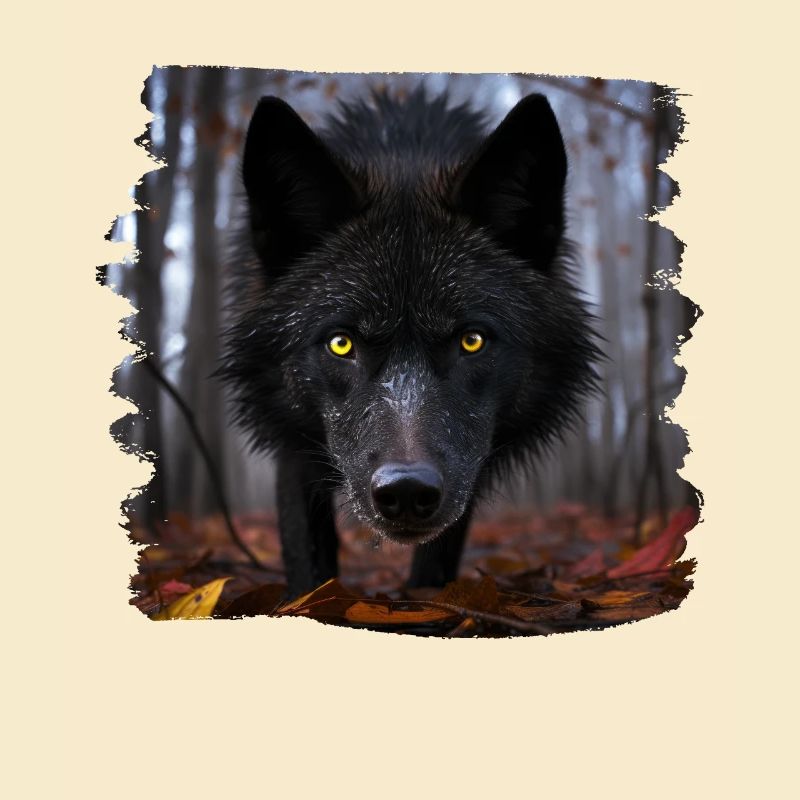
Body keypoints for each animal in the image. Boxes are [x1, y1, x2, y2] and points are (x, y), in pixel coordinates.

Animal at [220, 87, 600, 597]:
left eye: (472, 341)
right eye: (341, 344)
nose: (405, 489)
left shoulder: (468, 464)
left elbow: (439, 553)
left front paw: (428, 602)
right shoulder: (292, 442)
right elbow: (306, 551)